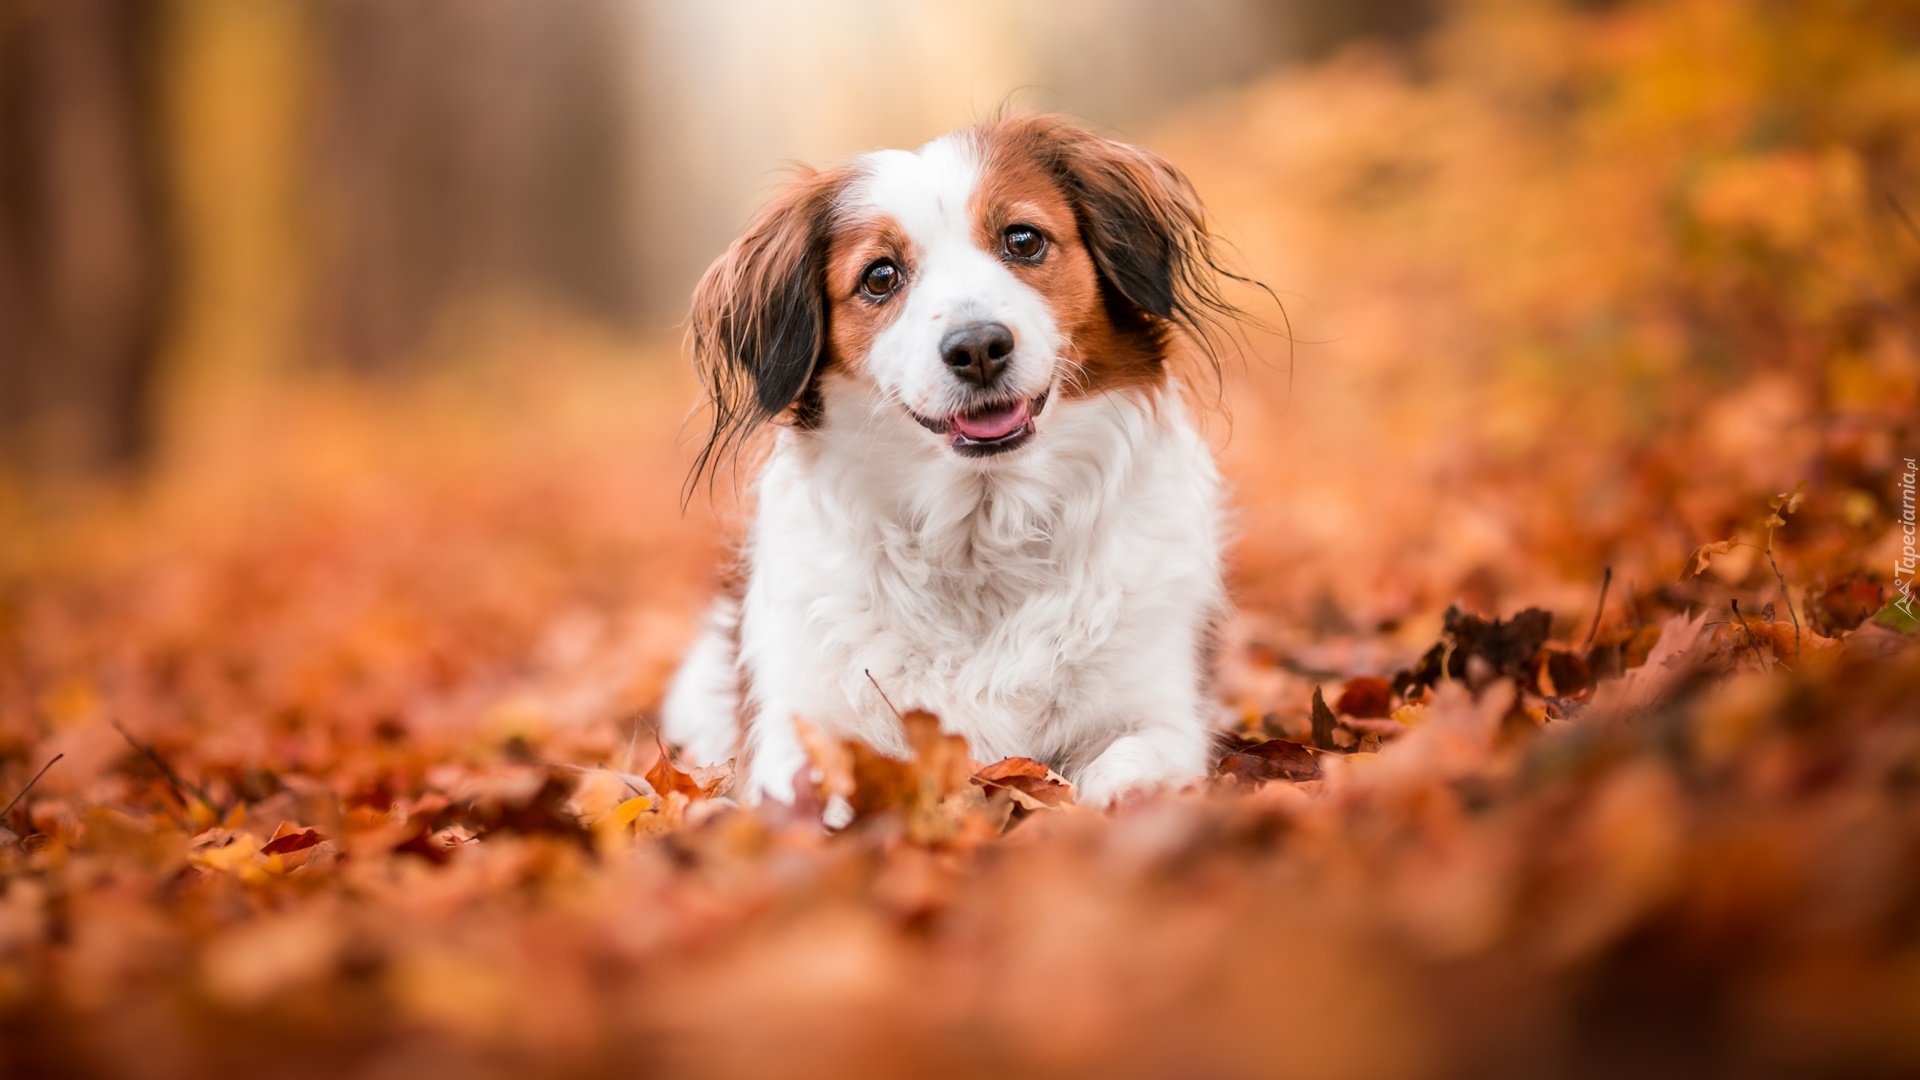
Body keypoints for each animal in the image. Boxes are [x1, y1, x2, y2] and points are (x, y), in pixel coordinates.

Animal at [660, 115, 1244, 807]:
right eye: (880, 277)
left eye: (1023, 239)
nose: (978, 347)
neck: (978, 531)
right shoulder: (794, 726)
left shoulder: (1159, 713)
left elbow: (1124, 772)